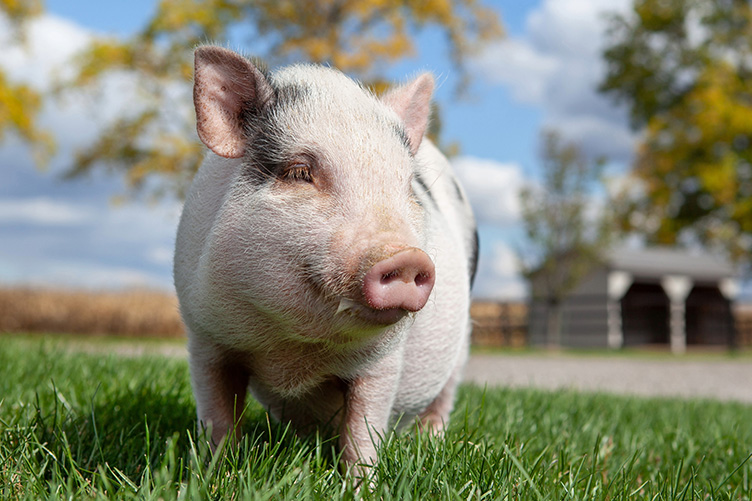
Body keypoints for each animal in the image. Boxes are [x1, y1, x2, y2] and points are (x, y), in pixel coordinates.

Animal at [173, 45, 478, 474]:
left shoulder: (382, 362)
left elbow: (363, 431)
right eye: (300, 171)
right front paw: (216, 474)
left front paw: (360, 482)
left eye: (407, 187)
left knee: (443, 398)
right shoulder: (205, 337)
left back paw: (430, 443)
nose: (406, 257)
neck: (294, 351)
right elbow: (217, 418)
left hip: (463, 341)